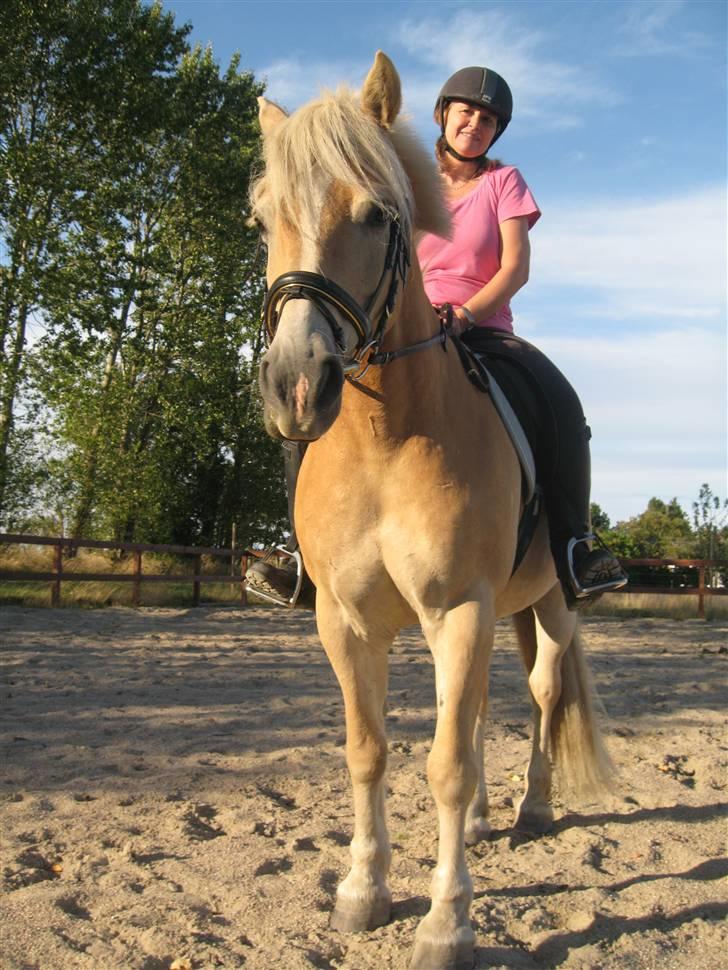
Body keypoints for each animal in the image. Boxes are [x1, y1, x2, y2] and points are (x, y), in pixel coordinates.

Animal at [253, 51, 612, 968]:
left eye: (377, 215)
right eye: (263, 218)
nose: (296, 386)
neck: (384, 441)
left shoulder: (460, 609)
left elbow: (444, 764)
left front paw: (448, 923)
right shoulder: (344, 620)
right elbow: (369, 751)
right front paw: (361, 892)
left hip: (549, 599)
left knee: (541, 690)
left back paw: (529, 809)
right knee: (480, 707)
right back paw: (485, 820)